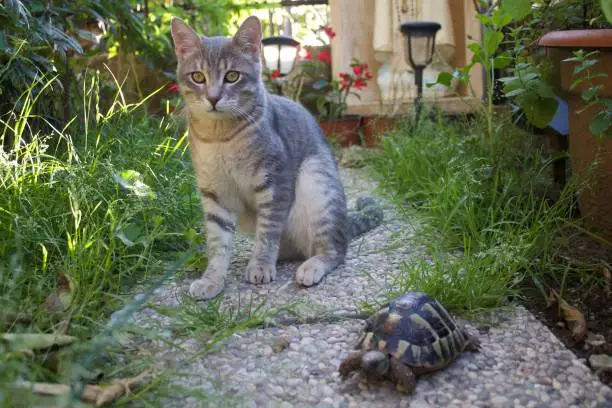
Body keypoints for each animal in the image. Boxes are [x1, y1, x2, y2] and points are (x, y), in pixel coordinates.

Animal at [169, 15, 382, 300]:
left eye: (232, 76)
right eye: (198, 76)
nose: (213, 98)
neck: (219, 138)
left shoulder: (275, 182)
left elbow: (268, 232)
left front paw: (260, 265)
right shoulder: (215, 194)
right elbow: (217, 243)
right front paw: (211, 280)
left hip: (317, 185)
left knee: (335, 250)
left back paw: (309, 266)